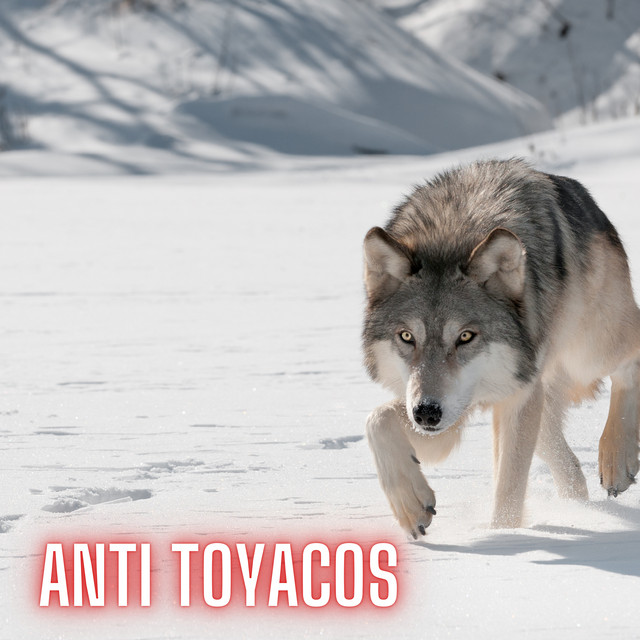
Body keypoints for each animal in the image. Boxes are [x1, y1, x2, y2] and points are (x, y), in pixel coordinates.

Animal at [362, 159, 640, 536]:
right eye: (407, 337)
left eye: (465, 337)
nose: (426, 413)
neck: (451, 234)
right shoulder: (448, 413)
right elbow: (377, 420)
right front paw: (411, 506)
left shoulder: (515, 396)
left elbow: (509, 488)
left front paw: (504, 537)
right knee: (562, 457)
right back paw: (578, 507)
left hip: (588, 352)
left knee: (629, 360)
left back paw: (616, 461)